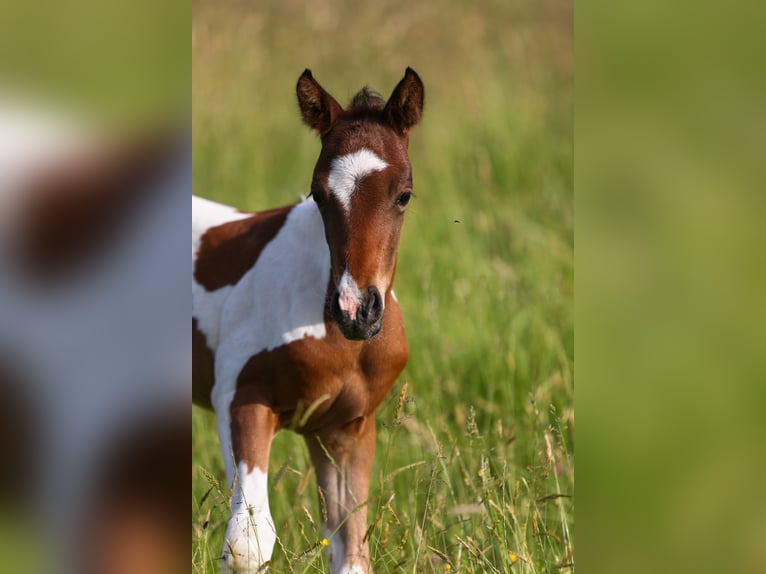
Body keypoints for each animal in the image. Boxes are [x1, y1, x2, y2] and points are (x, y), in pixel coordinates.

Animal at [194, 68, 426, 574]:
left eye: (404, 194)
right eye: (318, 194)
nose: (356, 310)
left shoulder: (345, 430)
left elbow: (350, 551)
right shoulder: (240, 399)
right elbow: (248, 545)